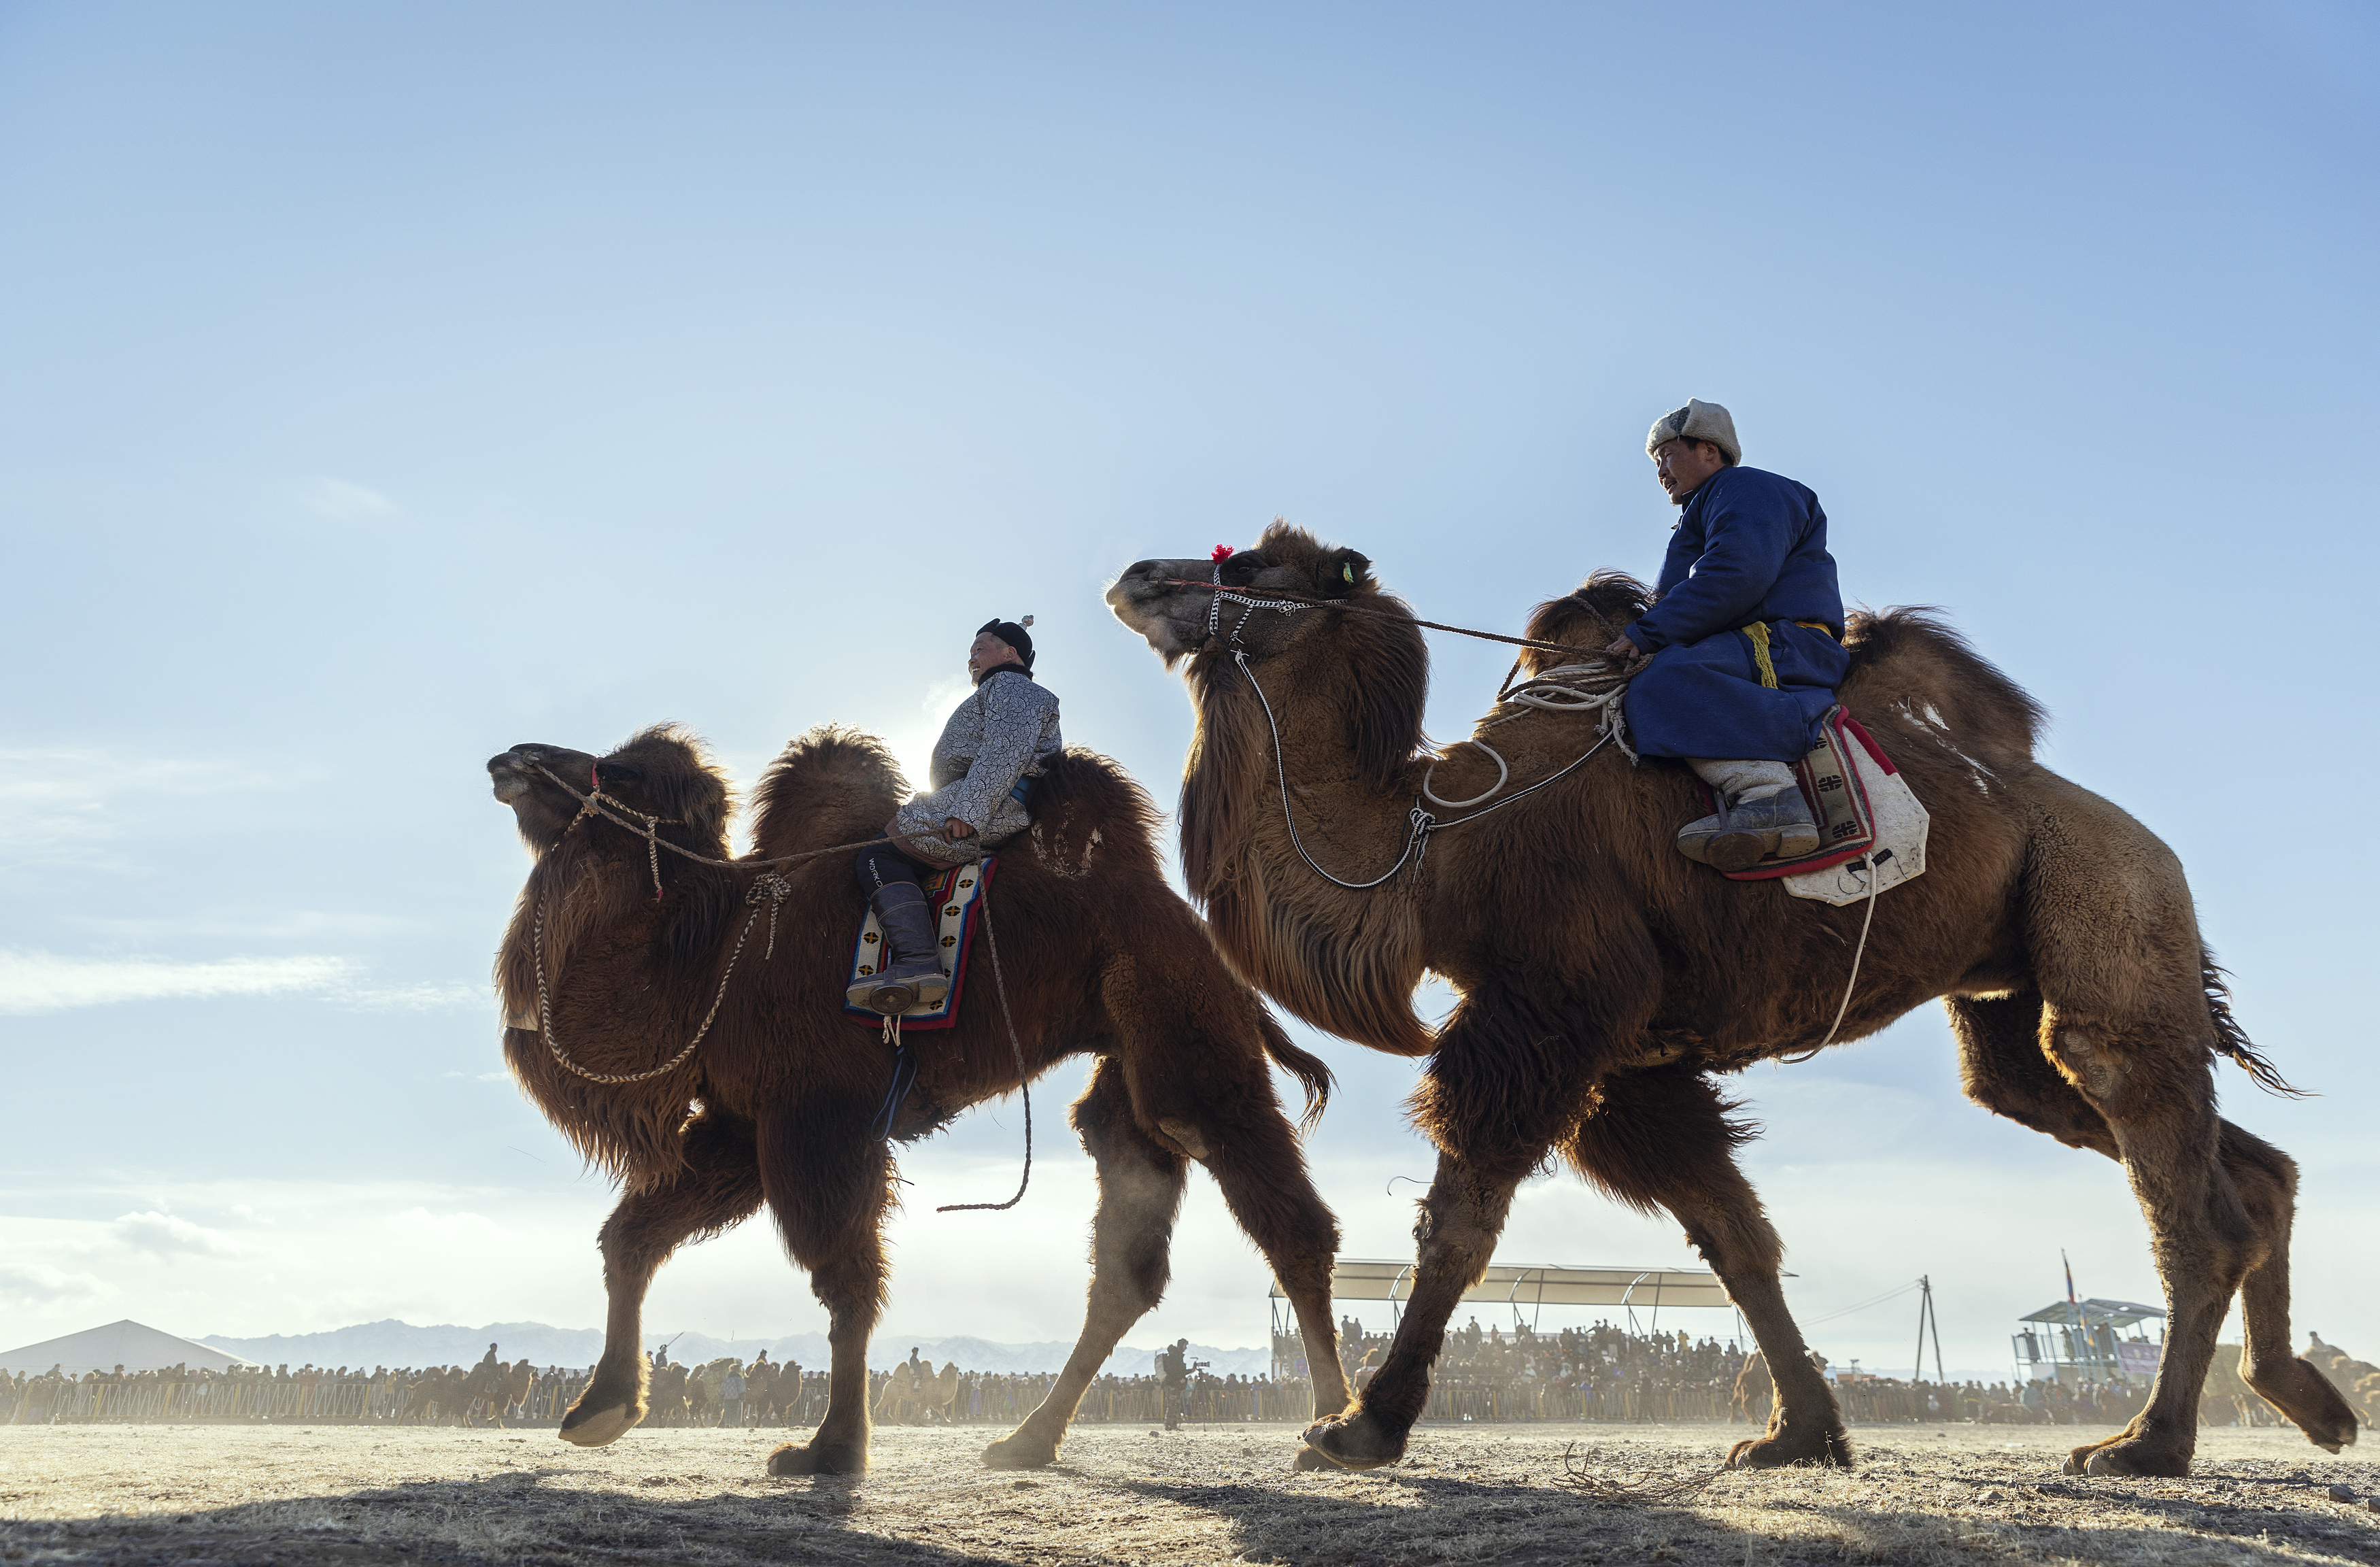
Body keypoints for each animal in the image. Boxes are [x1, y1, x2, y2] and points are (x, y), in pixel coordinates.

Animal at [487, 725, 1351, 1475]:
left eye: (617, 771)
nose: (510, 759)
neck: (714, 957)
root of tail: (1207, 942)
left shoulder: (818, 1114)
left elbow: (844, 1280)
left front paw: (830, 1451)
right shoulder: (744, 1124)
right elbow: (630, 1237)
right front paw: (600, 1409)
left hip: (1181, 1021)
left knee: (1280, 1215)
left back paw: (1333, 1428)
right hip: (1127, 1071)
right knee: (1126, 1259)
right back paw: (1028, 1440)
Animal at [1106, 523, 2355, 1479]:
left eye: (1252, 563)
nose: (1139, 577)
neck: (1436, 847)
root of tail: (2139, 838)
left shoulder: (1549, 1006)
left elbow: (1459, 1219)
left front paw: (1361, 1424)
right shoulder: (1635, 1061)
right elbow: (1733, 1234)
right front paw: (1799, 1431)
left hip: (2106, 909)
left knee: (2168, 1162)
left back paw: (2148, 1441)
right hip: (2012, 989)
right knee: (2193, 1146)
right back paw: (2308, 1396)